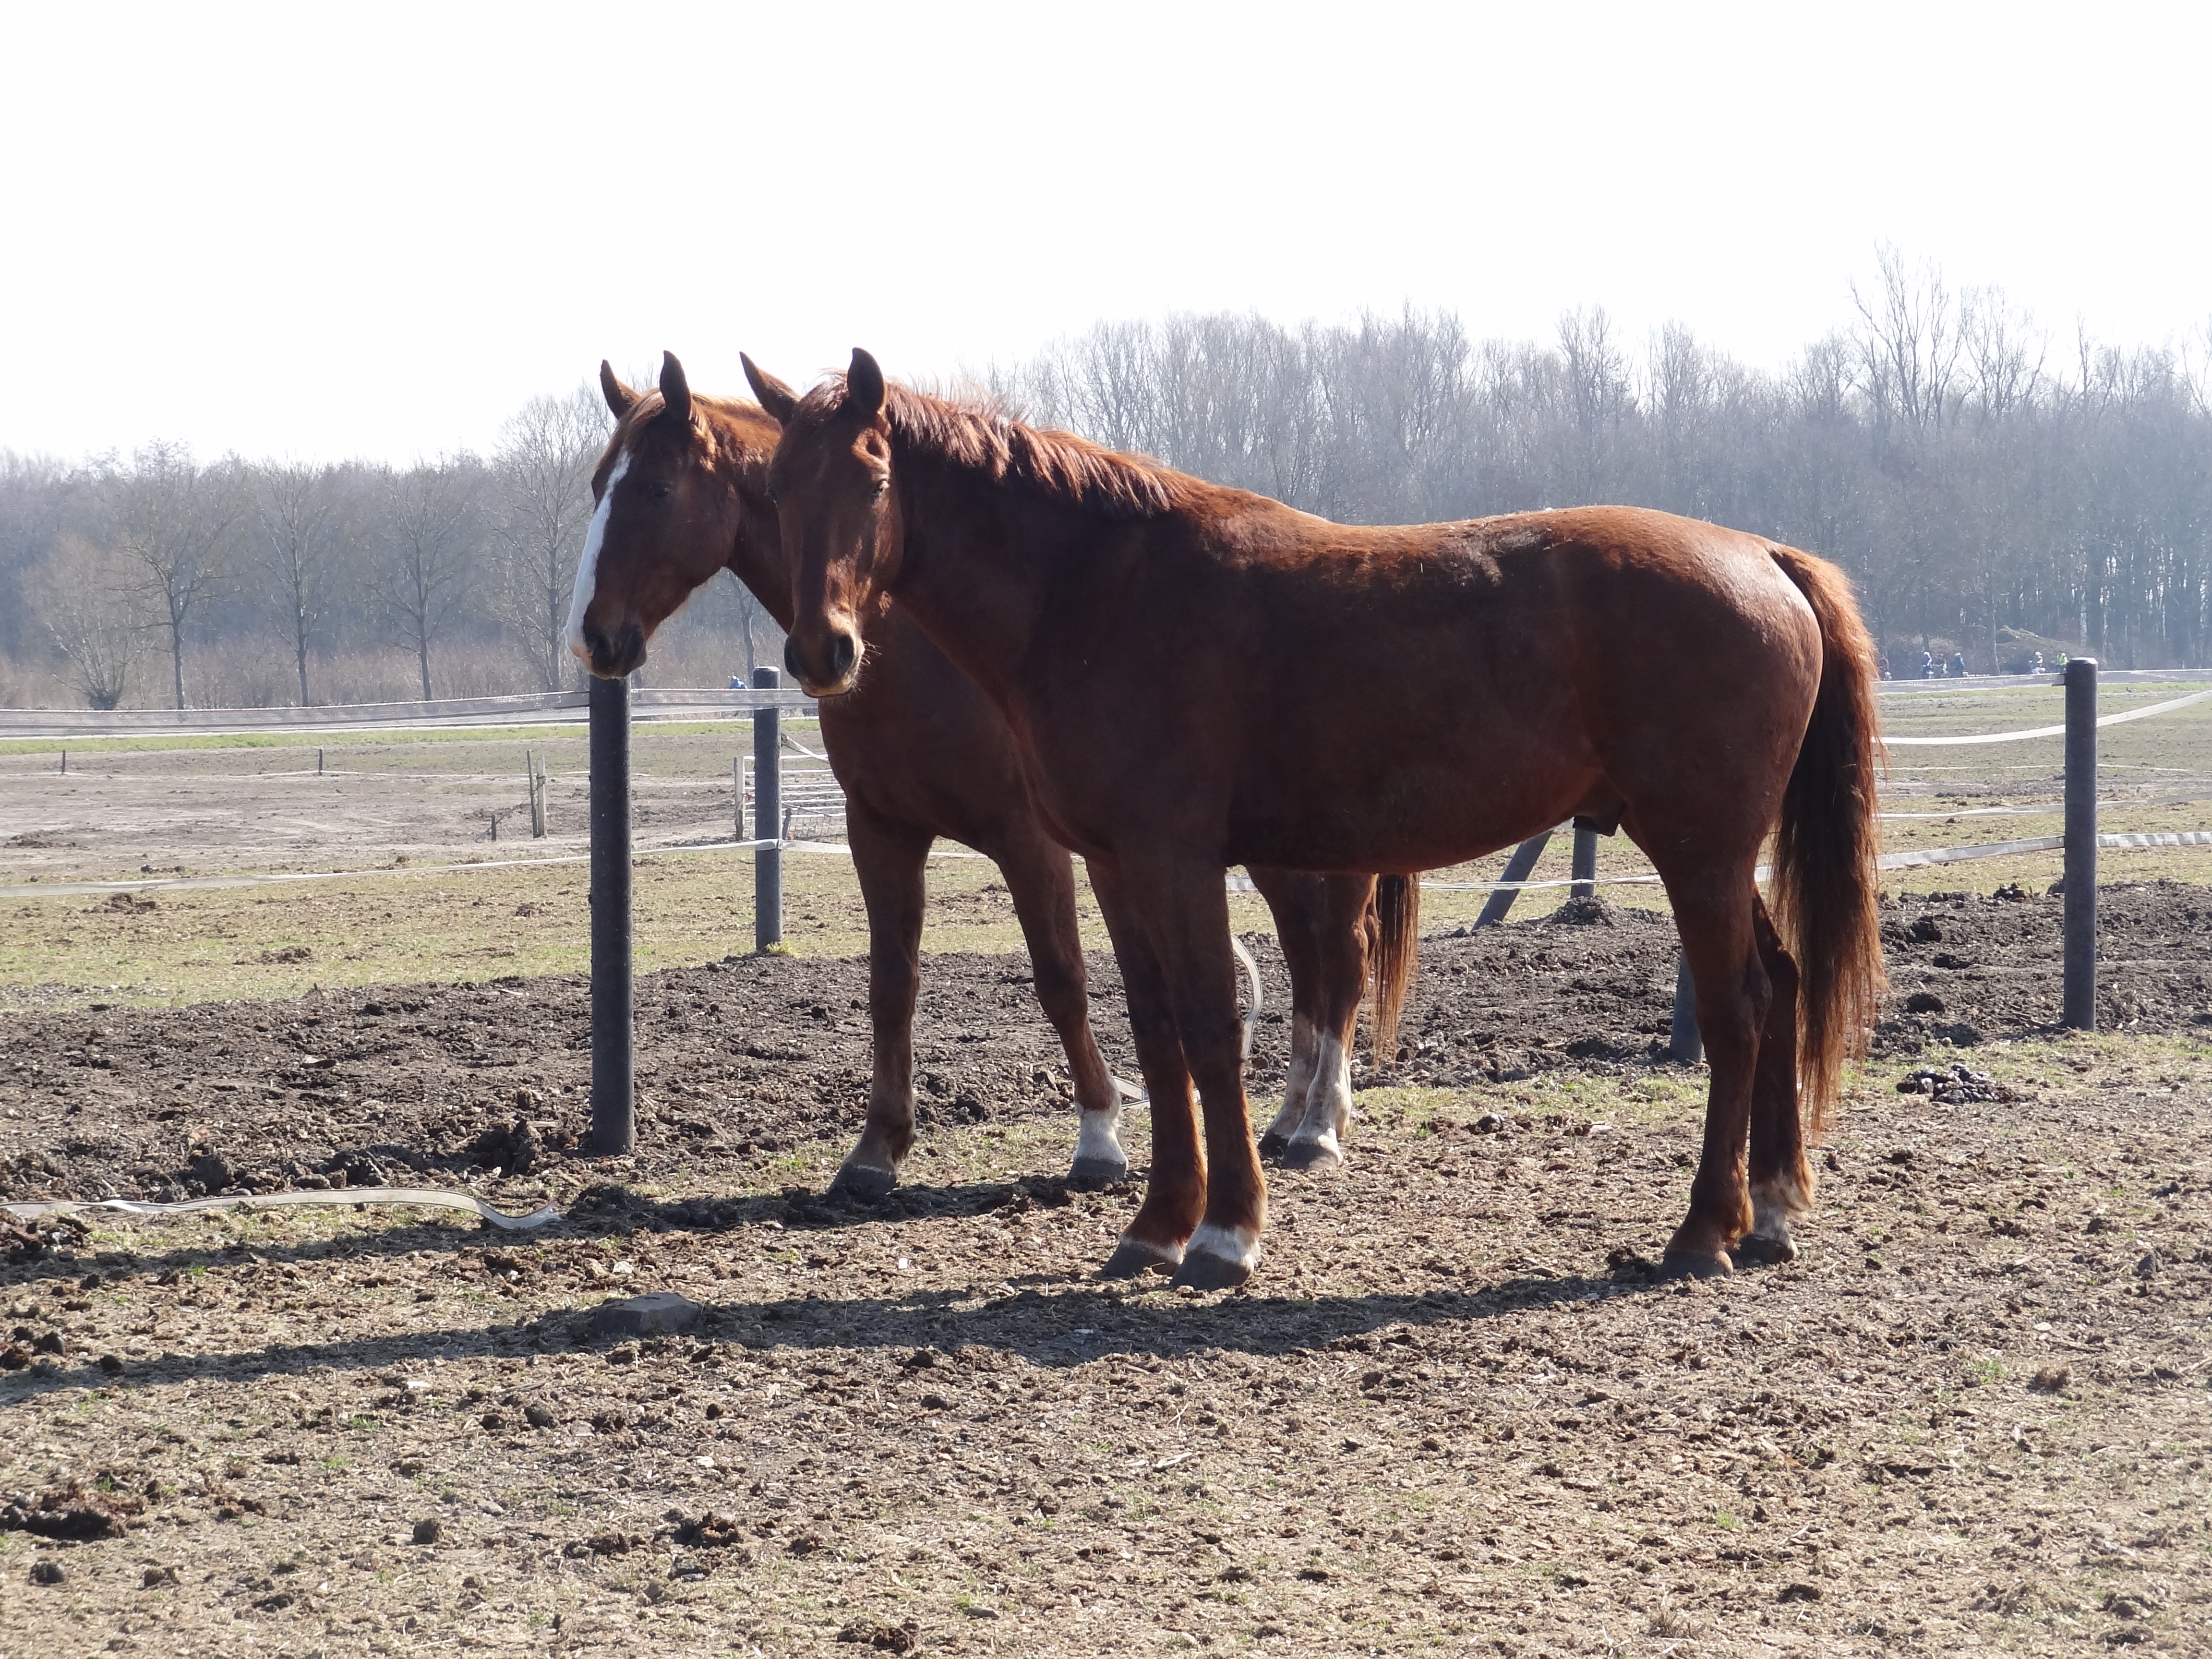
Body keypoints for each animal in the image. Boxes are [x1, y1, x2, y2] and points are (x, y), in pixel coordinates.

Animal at [562, 358, 1407, 1203]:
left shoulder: (1029, 840)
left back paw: (1320, 1124)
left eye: (656, 490)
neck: (917, 647)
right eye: (598, 483)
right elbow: (892, 985)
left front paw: (1099, 1135)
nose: (590, 637)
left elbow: (1061, 978)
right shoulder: (882, 832)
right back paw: (1290, 1115)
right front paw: (876, 1150)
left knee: (1343, 957)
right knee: (1307, 958)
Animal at [747, 347, 1885, 1283]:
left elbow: (1209, 1027)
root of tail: (1764, 556)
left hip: (1699, 850)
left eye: (874, 479)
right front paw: (1156, 1226)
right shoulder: (1114, 864)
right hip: (1719, 858)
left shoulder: (1176, 859)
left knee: (1739, 1010)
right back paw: (1772, 1210)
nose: (822, 651)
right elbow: (1155, 1030)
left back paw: (1702, 1230)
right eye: (779, 489)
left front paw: (1224, 1234)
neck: (1098, 592)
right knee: (1783, 987)